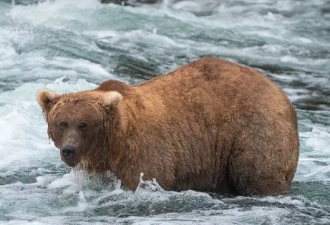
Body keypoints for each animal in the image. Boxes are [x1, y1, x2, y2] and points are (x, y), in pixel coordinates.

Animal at [36, 57, 300, 195]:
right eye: (62, 123)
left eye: (84, 124)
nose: (69, 150)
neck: (113, 147)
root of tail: (280, 93)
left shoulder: (145, 156)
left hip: (254, 131)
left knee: (256, 174)